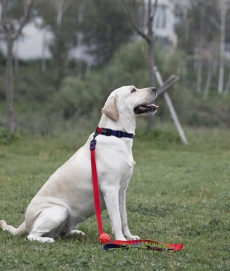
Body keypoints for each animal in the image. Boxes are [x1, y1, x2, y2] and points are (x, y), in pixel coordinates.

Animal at [0, 86, 158, 243]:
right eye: (133, 90)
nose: (155, 88)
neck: (116, 134)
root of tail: (24, 223)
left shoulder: (122, 190)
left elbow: (123, 218)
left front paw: (130, 237)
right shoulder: (110, 189)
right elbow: (117, 220)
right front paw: (121, 241)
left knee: (61, 233)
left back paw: (76, 233)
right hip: (59, 211)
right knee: (32, 235)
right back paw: (47, 240)